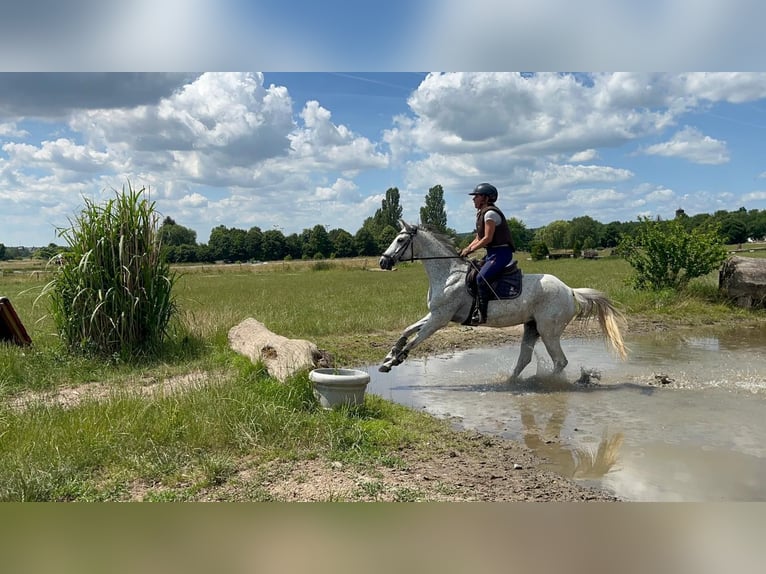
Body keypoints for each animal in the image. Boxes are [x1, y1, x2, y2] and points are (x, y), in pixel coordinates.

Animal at [380, 223, 632, 380]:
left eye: (400, 239)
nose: (383, 262)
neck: (448, 273)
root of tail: (570, 290)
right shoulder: (434, 314)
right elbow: (407, 330)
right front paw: (390, 355)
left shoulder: (440, 319)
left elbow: (416, 339)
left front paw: (394, 361)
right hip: (532, 327)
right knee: (525, 358)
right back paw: (511, 380)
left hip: (548, 331)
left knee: (560, 361)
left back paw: (543, 383)